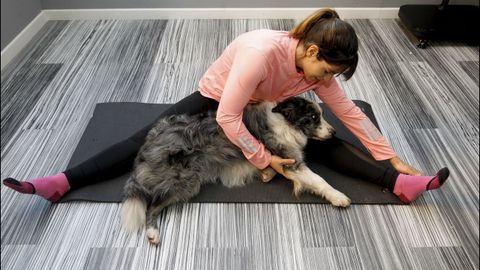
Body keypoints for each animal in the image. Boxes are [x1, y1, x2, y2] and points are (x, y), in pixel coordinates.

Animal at [122, 96, 350, 245]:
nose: (334, 132)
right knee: (151, 206)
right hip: (184, 180)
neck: (286, 123)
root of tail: (148, 144)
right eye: (313, 116)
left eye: (320, 115)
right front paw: (338, 196)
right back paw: (153, 233)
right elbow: (319, 180)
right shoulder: (290, 160)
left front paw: (267, 172)